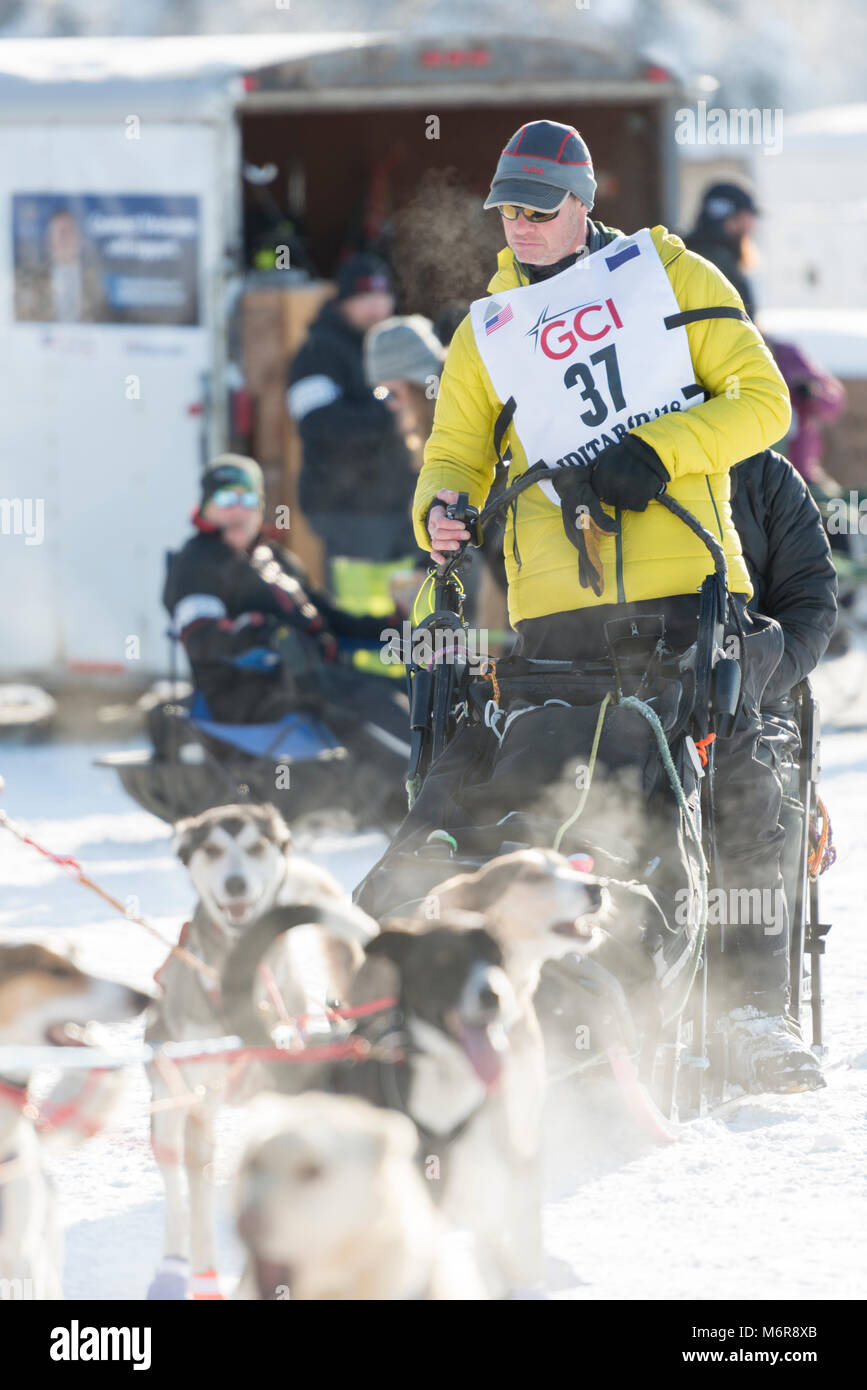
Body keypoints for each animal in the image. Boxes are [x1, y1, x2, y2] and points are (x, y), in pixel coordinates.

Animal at [146, 806, 375, 1301]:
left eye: (255, 847)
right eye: (212, 849)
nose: (235, 883)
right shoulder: (200, 1107)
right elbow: (199, 1213)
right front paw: (207, 1276)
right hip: (168, 1110)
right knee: (175, 1195)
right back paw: (173, 1268)